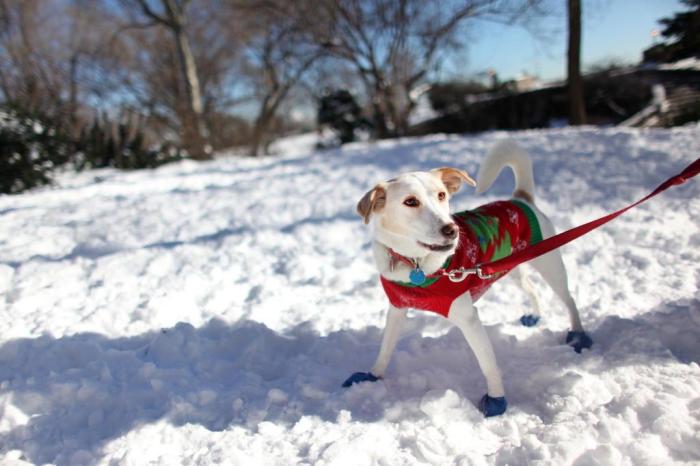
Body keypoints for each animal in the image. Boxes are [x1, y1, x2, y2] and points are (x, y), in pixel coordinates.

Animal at [344, 140, 592, 416]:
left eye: (442, 195)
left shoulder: (468, 319)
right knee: (532, 289)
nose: (451, 230)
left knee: (569, 300)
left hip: (550, 264)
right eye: (410, 202)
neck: (416, 263)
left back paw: (578, 335)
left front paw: (496, 400)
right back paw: (534, 316)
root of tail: (520, 199)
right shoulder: (397, 309)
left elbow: (488, 364)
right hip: (511, 268)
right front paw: (372, 376)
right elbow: (385, 349)